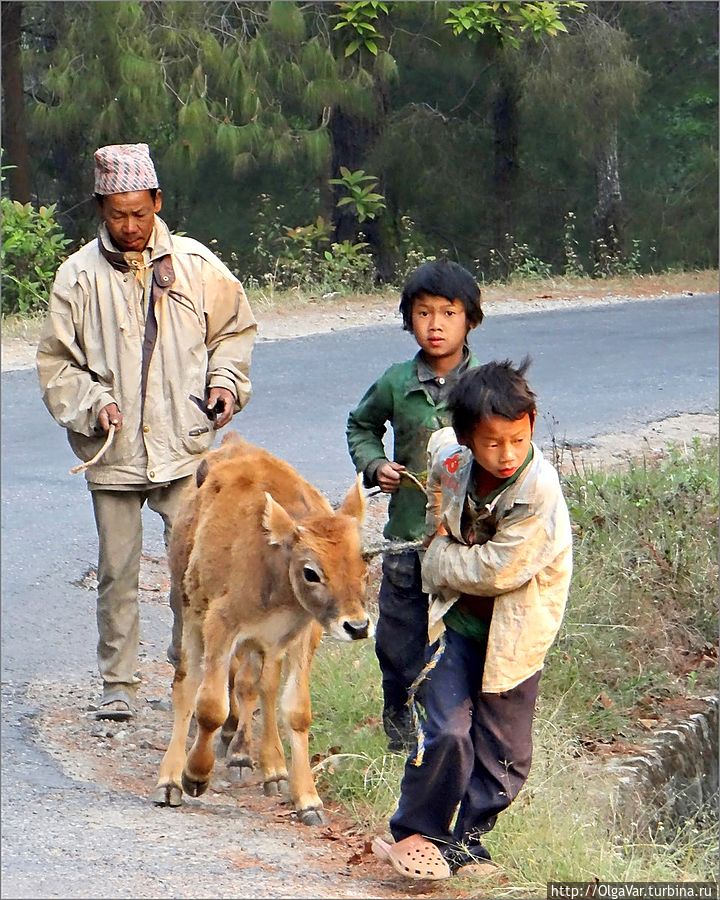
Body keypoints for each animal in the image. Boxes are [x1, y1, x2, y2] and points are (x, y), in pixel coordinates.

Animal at [154, 434, 374, 824]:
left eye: (363, 563)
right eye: (311, 571)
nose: (358, 625)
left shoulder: (301, 635)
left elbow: (295, 710)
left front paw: (308, 799)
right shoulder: (221, 625)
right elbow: (210, 706)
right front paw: (195, 776)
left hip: (263, 645)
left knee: (261, 687)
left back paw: (270, 767)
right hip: (190, 612)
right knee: (186, 685)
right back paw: (172, 779)